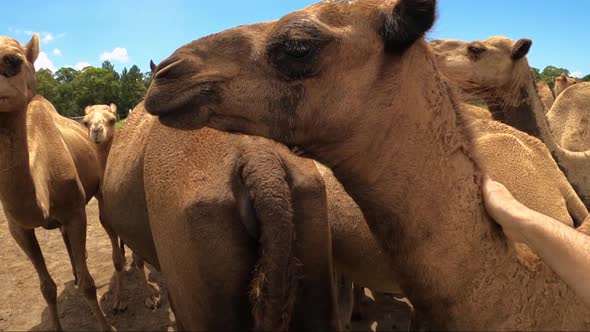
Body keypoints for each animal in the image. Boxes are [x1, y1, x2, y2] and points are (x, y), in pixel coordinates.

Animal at [0, 35, 112, 330]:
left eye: (13, 60)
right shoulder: (18, 227)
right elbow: (46, 288)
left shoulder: (75, 212)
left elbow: (88, 286)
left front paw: (106, 325)